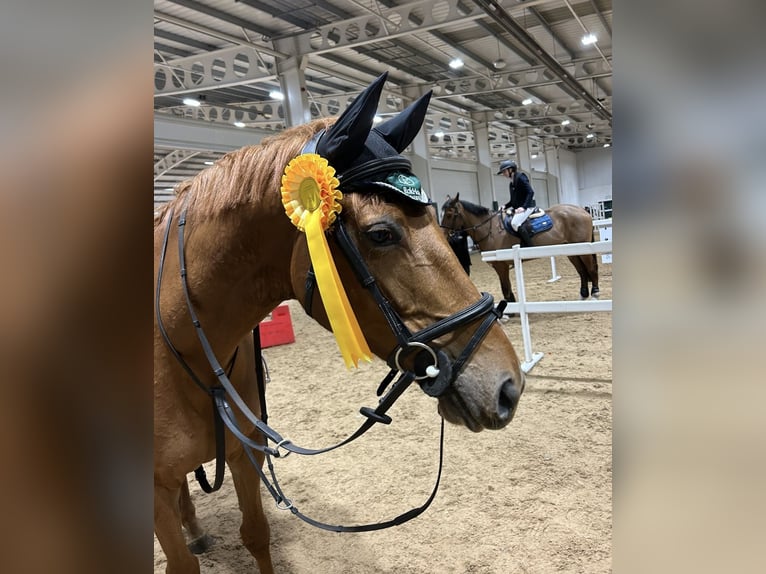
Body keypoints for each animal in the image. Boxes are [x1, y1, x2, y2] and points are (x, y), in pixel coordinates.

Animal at [154, 73, 525, 574]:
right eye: (381, 233)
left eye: (436, 218)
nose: (508, 387)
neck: (181, 341)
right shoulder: (155, 492)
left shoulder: (245, 453)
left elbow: (257, 535)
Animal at [441, 194, 599, 302]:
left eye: (449, 214)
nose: (442, 235)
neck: (490, 230)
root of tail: (583, 211)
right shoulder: (500, 267)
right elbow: (506, 287)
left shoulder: (501, 266)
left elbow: (505, 287)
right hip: (571, 250)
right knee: (581, 270)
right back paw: (583, 294)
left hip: (583, 249)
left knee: (590, 268)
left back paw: (595, 292)